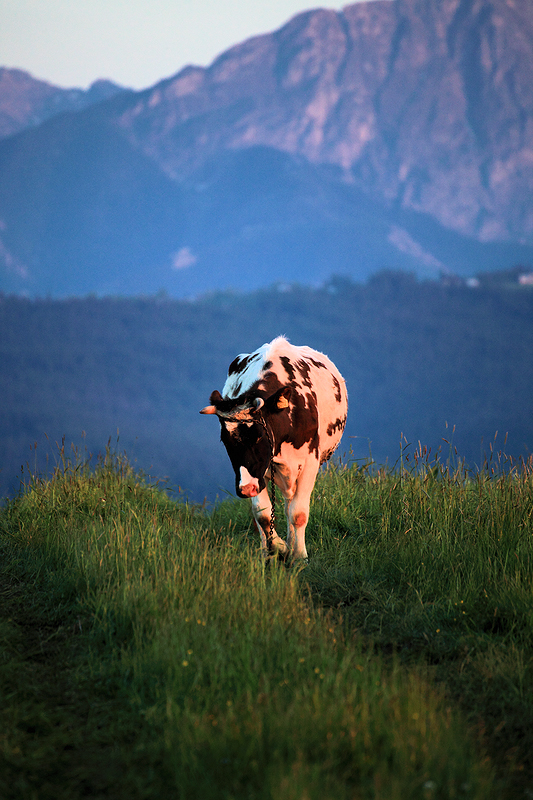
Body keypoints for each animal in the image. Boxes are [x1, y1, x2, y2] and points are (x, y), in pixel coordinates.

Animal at [198, 338, 344, 564]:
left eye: (258, 436)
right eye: (225, 441)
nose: (246, 489)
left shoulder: (310, 461)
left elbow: (298, 513)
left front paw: (299, 556)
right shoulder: (259, 472)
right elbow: (263, 515)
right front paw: (278, 548)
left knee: (290, 506)